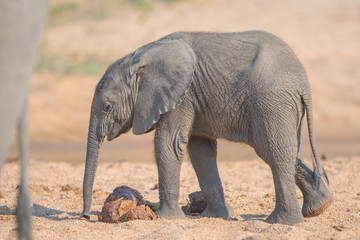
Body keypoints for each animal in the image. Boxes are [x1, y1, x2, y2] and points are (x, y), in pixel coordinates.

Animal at [81, 31, 332, 225]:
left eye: (107, 107)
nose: (84, 216)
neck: (141, 56)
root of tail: (303, 83)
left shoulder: (182, 95)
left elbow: (168, 144)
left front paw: (165, 217)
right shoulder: (191, 98)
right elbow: (200, 150)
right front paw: (217, 215)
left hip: (271, 100)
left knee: (272, 151)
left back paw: (281, 222)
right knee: (279, 148)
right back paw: (318, 208)